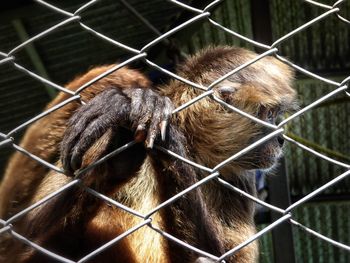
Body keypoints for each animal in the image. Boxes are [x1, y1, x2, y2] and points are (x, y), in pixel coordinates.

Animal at [0, 46, 296, 262]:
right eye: (270, 114)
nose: (280, 138)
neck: (195, 151)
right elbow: (21, 244)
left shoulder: (239, 180)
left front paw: (160, 127)